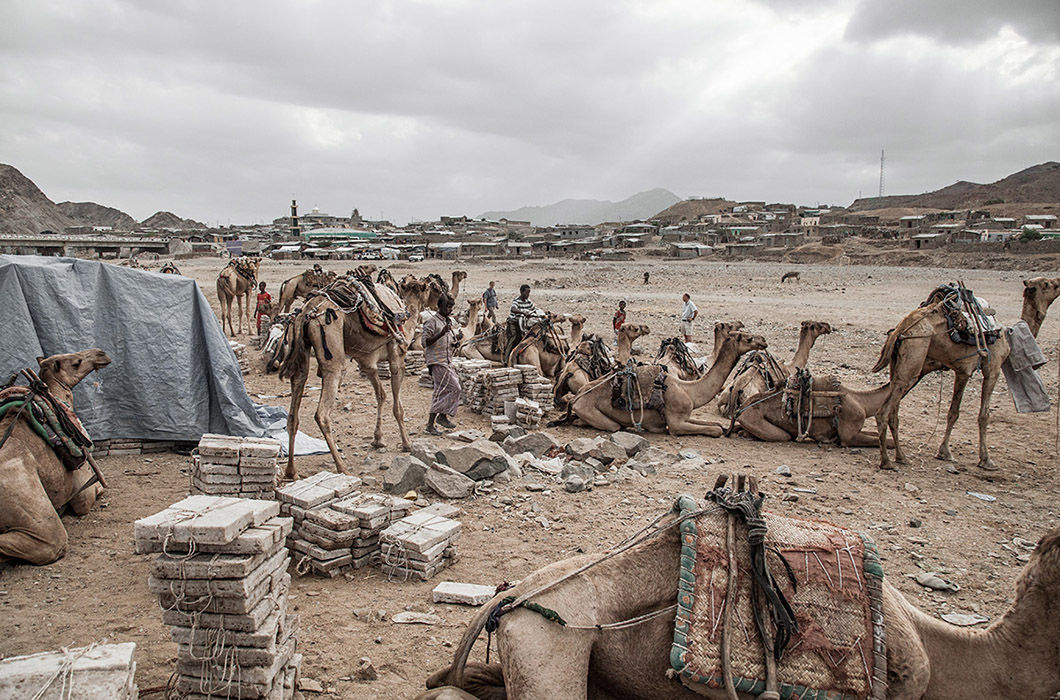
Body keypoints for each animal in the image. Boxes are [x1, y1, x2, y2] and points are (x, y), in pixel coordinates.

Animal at [281, 273, 434, 475]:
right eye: (429, 288)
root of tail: (306, 313)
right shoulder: (396, 357)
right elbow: (397, 407)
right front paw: (407, 443)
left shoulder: (367, 362)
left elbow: (380, 395)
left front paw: (378, 439)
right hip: (332, 347)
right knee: (322, 413)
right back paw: (342, 467)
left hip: (301, 352)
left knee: (293, 411)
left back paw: (291, 470)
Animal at [568, 330, 767, 434]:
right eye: (748, 338)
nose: (763, 340)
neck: (690, 392)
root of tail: (576, 398)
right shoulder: (676, 423)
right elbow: (716, 430)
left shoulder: (686, 416)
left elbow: (716, 425)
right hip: (589, 409)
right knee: (614, 426)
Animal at [869, 277, 1060, 470]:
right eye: (1050, 285)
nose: (1058, 281)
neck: (1004, 334)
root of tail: (900, 328)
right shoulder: (991, 368)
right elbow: (982, 415)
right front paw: (985, 459)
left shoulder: (959, 370)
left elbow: (953, 412)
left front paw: (944, 452)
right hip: (914, 359)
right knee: (883, 412)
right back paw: (886, 461)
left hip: (902, 367)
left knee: (893, 412)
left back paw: (901, 457)